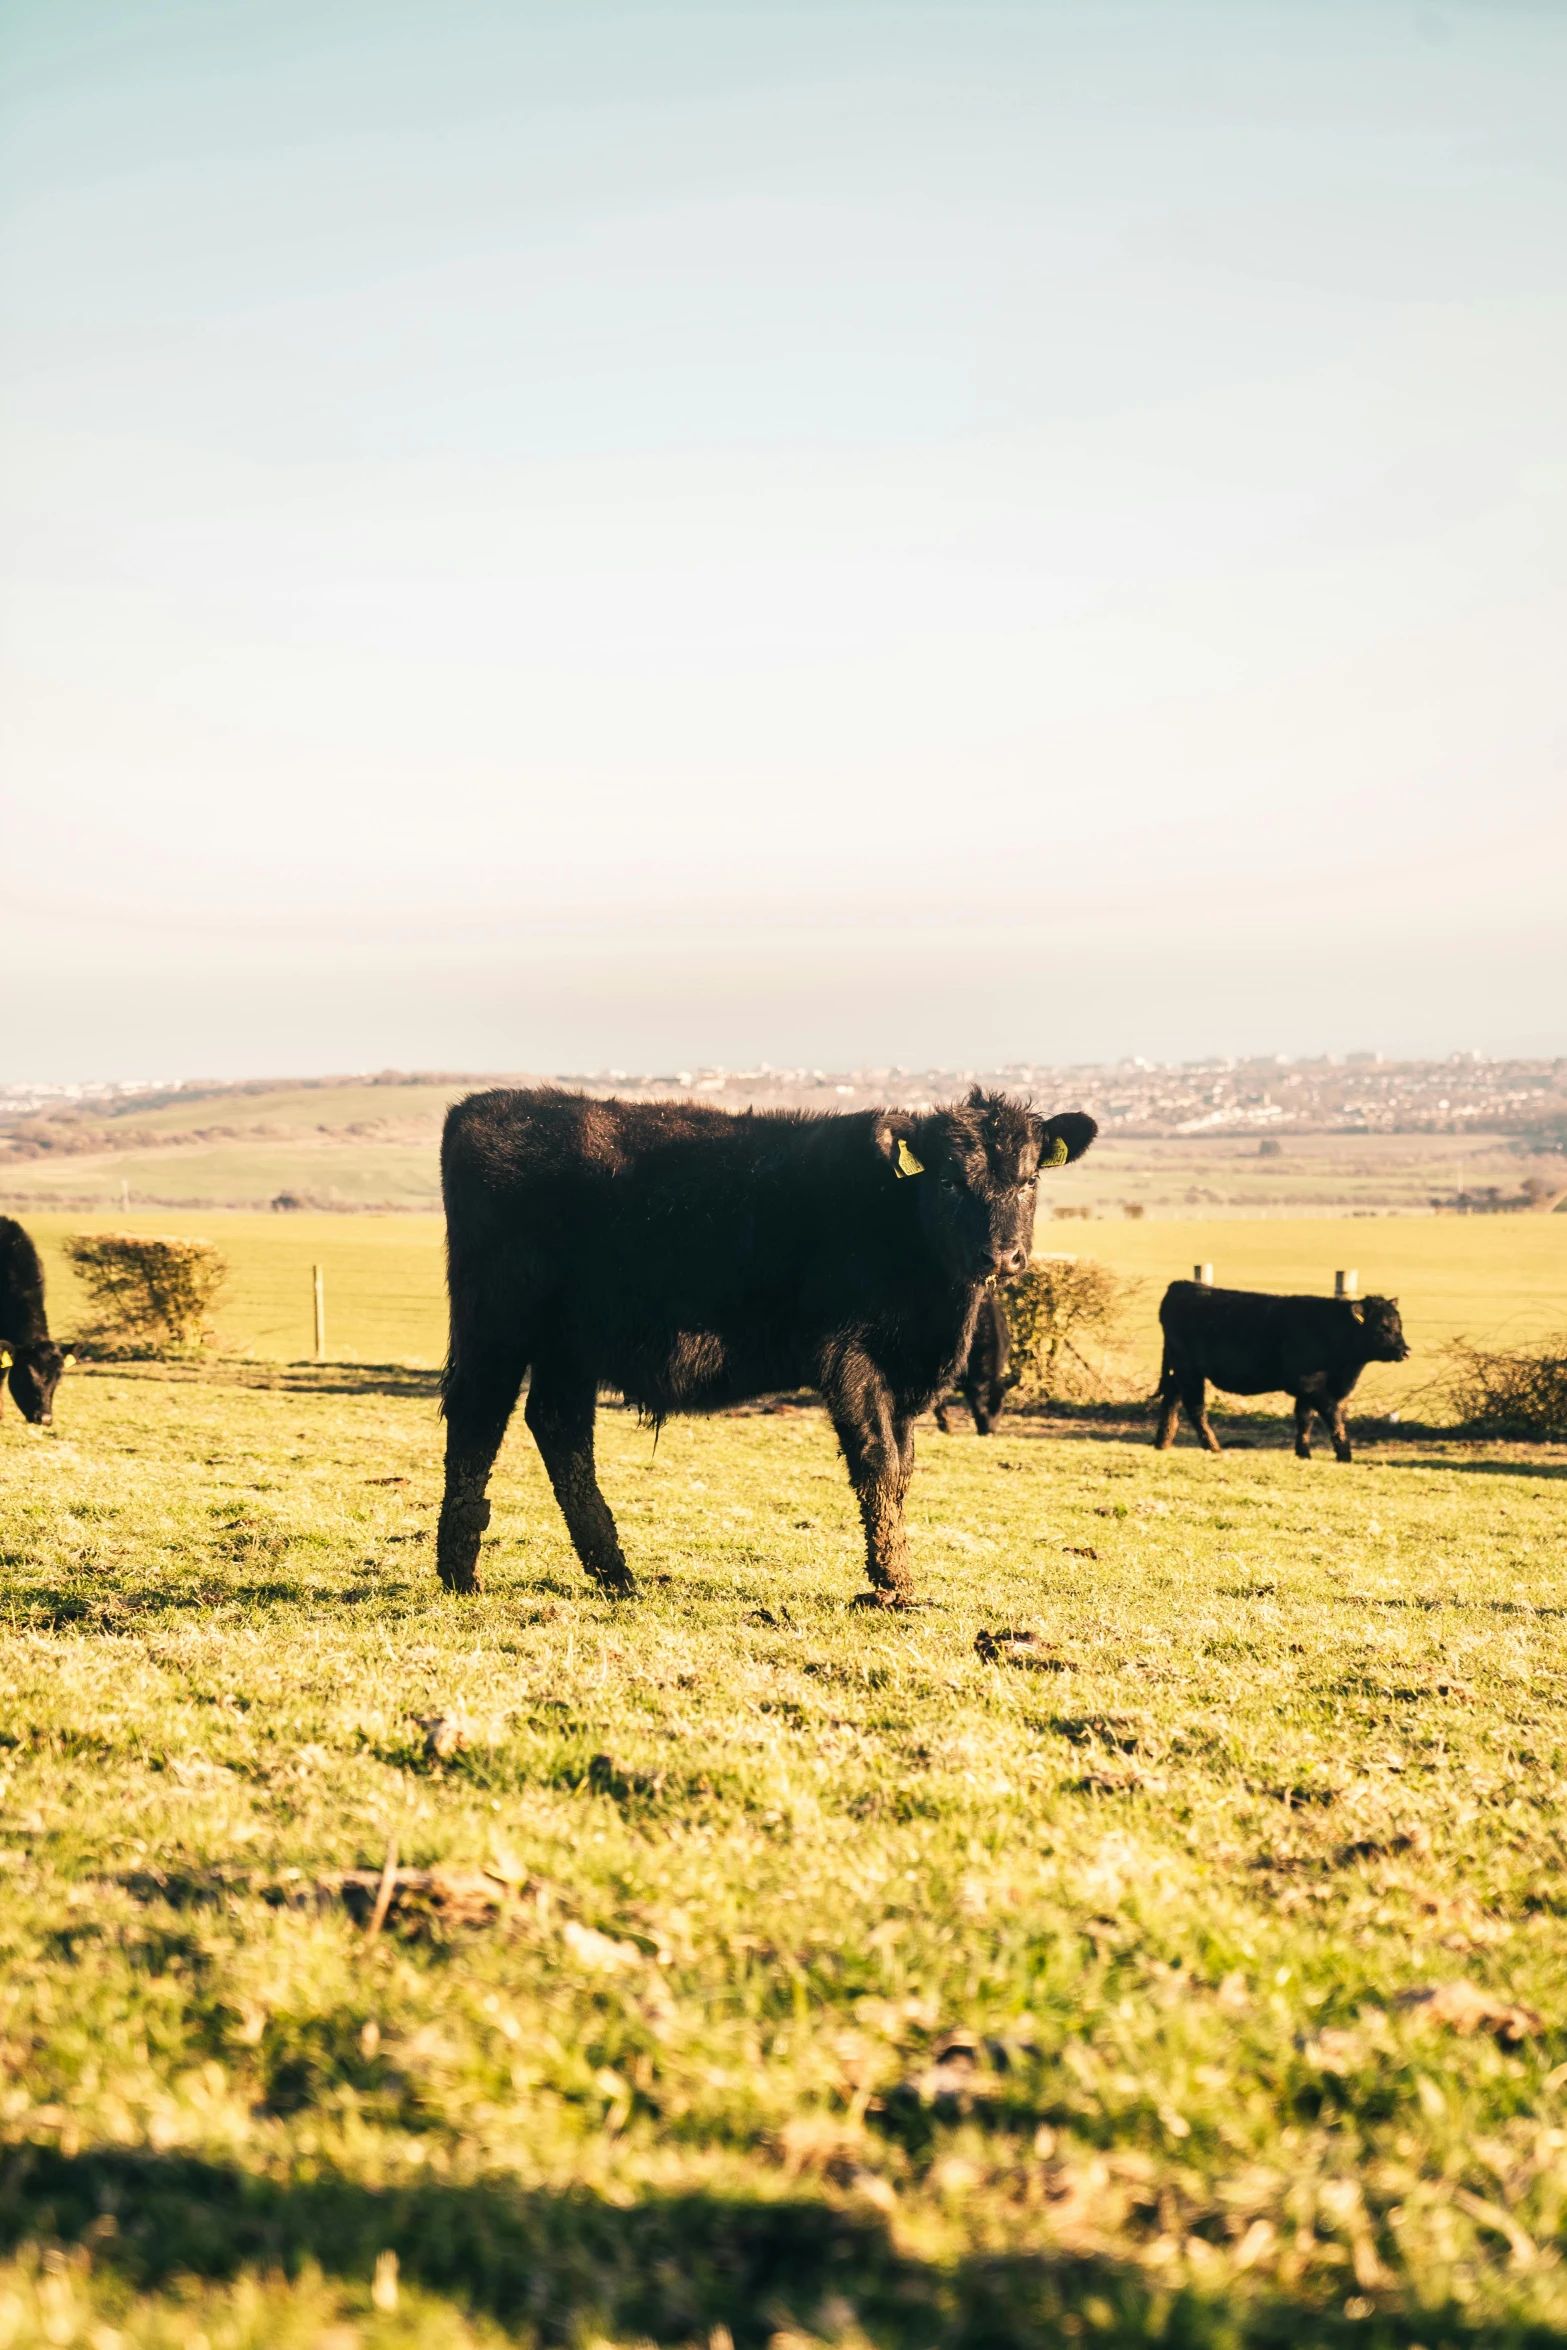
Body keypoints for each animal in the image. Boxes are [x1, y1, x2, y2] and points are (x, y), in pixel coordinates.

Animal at [1151, 1278, 1409, 1457]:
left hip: (1181, 1371)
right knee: (1195, 1408)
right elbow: (1332, 1413)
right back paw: (1213, 1447)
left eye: (1399, 1325)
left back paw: (1163, 1442)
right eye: (1382, 1326)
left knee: (1171, 1398)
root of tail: (1181, 1285)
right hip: (1189, 1370)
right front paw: (1344, 1454)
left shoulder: (1309, 1388)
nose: (1405, 1350)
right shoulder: (1309, 1383)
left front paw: (1303, 1452)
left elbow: (1305, 1418)